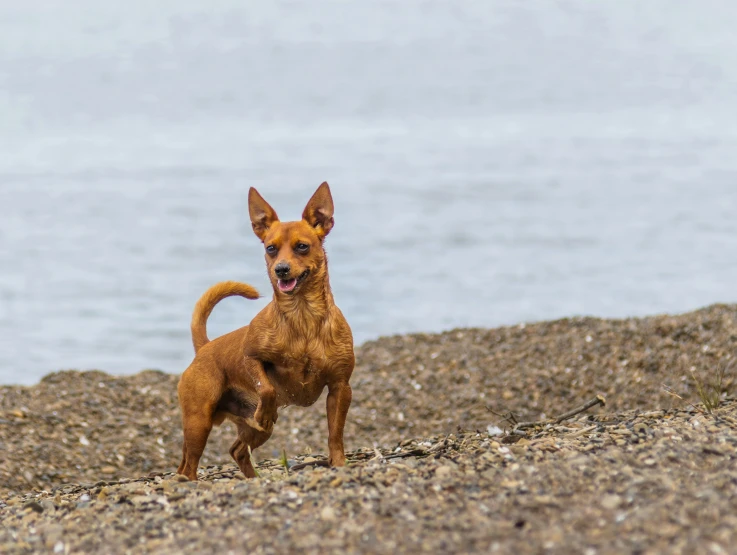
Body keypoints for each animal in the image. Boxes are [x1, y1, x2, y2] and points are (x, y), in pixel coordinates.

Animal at [175, 184, 354, 482]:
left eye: (302, 246)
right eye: (271, 249)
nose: (280, 269)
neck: (302, 316)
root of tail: (205, 347)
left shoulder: (340, 388)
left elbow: (335, 435)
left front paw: (338, 464)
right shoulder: (251, 356)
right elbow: (266, 386)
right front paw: (266, 407)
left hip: (250, 430)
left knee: (236, 450)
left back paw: (253, 480)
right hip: (199, 421)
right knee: (189, 463)